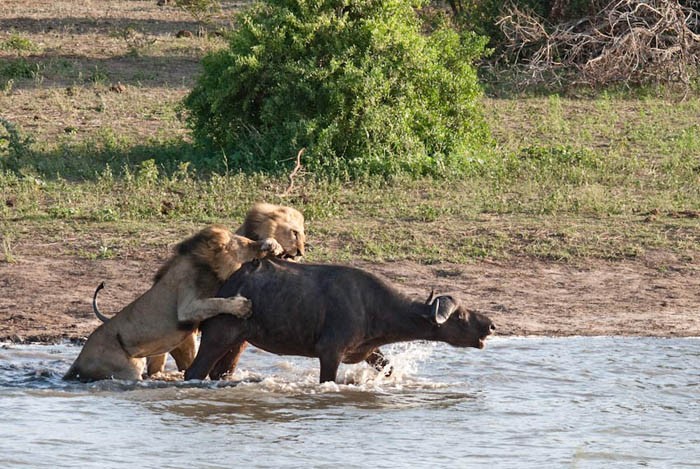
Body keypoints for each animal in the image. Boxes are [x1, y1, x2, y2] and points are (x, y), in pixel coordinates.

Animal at [64, 204, 304, 380]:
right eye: (244, 243)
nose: (267, 243)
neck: (210, 266)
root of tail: (78, 360)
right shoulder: (187, 306)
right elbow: (215, 302)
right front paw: (242, 306)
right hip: (128, 367)